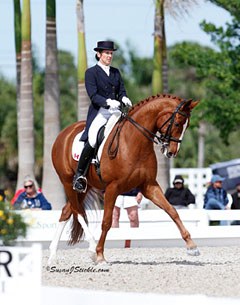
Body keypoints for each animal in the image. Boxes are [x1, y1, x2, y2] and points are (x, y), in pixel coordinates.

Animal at [47, 94, 200, 262]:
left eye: (187, 125)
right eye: (178, 123)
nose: (172, 152)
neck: (135, 141)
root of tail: (63, 134)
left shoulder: (149, 185)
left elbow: (172, 210)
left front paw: (192, 246)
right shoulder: (112, 188)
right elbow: (106, 221)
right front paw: (100, 255)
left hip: (85, 187)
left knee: (67, 211)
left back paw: (52, 255)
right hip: (68, 182)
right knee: (78, 212)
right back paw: (92, 248)